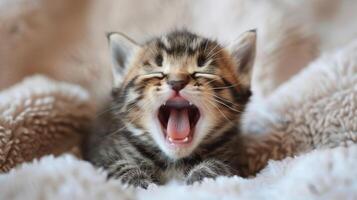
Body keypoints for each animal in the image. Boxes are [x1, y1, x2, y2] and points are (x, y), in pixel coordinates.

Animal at [83, 28, 256, 188]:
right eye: (156, 71)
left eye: (202, 71)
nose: (177, 82)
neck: (174, 161)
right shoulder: (102, 154)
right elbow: (116, 166)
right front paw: (140, 182)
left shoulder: (237, 159)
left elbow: (221, 166)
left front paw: (202, 177)